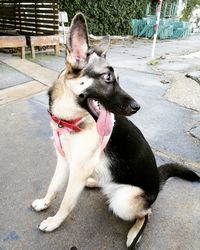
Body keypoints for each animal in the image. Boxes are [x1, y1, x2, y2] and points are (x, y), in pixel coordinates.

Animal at [31, 13, 200, 248]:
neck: (69, 120)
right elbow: (53, 186)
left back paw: (135, 232)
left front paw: (54, 222)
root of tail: (156, 185)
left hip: (124, 201)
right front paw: (45, 203)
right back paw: (94, 183)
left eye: (117, 79)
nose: (137, 107)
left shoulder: (77, 171)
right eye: (107, 78)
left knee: (147, 213)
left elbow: (66, 202)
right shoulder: (64, 162)